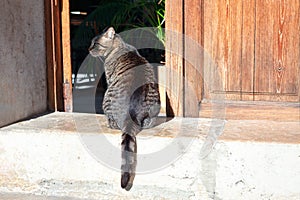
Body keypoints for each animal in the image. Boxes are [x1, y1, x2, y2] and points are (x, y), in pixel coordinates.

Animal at [88, 27, 161, 190]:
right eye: (91, 43)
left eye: (96, 43)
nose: (88, 49)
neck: (120, 46)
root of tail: (130, 116)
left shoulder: (109, 78)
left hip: (107, 96)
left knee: (112, 122)